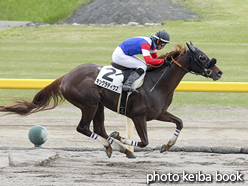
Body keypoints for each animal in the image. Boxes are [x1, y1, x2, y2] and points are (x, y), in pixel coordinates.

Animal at [0, 42, 223, 158]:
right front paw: (122, 139)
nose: (219, 72)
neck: (158, 82)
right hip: (89, 103)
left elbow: (180, 123)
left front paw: (166, 145)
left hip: (98, 104)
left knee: (98, 129)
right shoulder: (139, 116)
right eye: (202, 57)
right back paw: (116, 147)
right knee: (84, 128)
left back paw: (116, 147)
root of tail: (66, 76)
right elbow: (144, 142)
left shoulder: (158, 114)